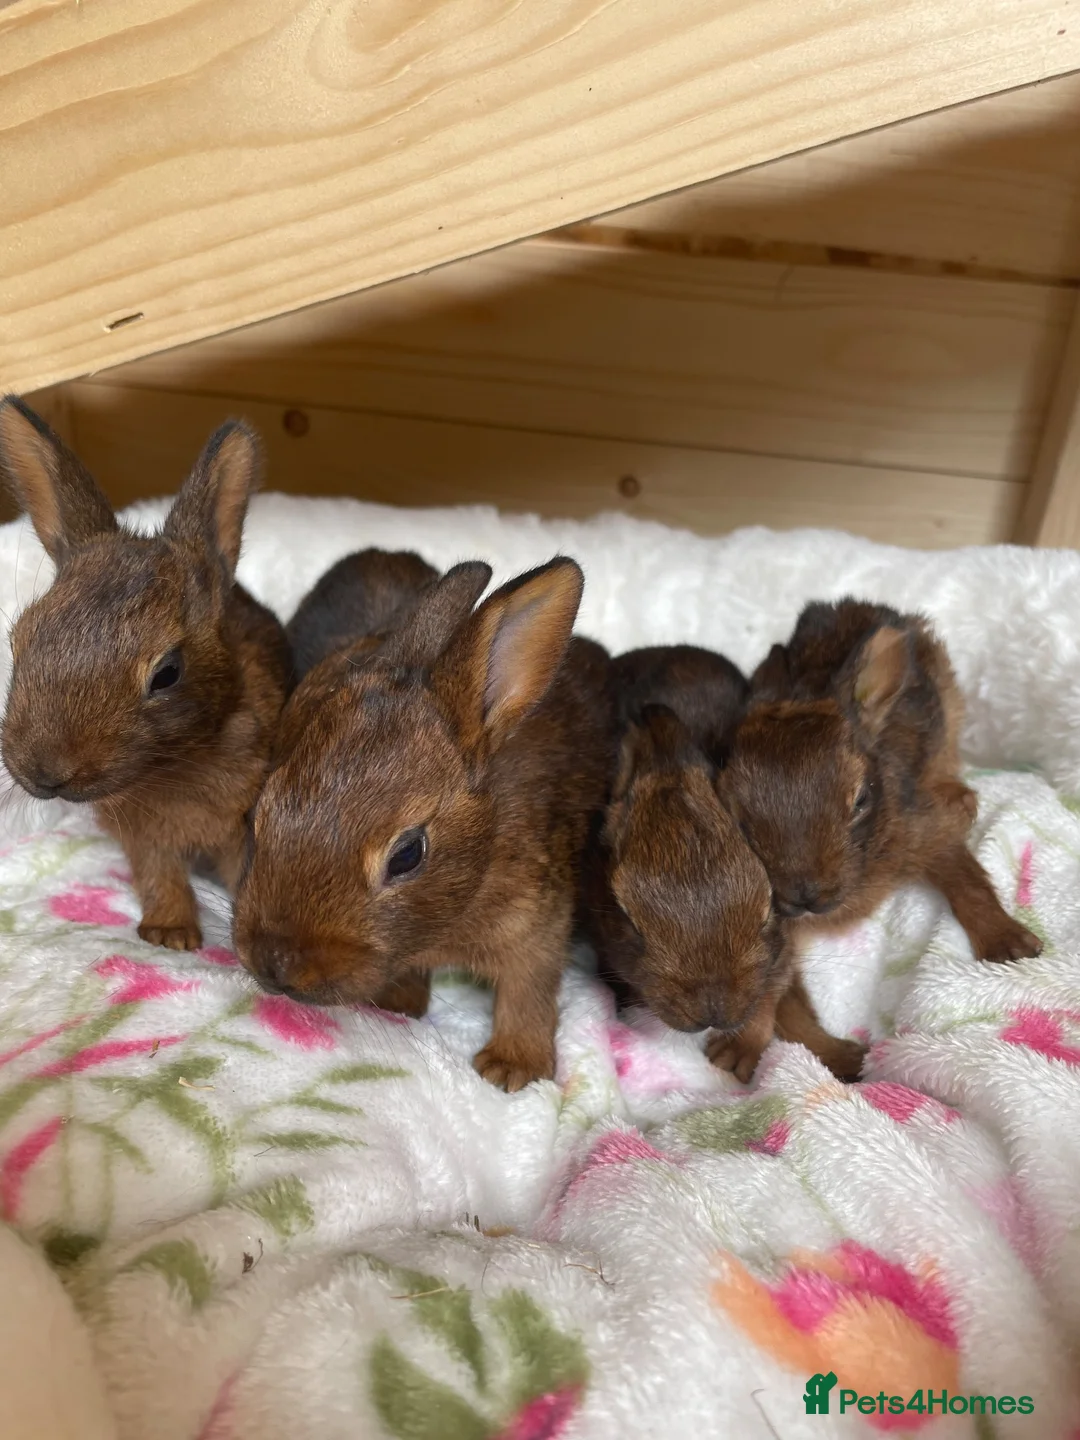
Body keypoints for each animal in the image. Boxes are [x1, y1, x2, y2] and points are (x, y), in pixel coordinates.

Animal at [0, 396, 292, 951]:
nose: (44, 773)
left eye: (167, 673)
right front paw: (170, 934)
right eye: (20, 640)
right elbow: (159, 873)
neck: (176, 762)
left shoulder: (241, 829)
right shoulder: (145, 839)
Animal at [581, 645, 864, 1082]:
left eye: (765, 913)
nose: (712, 1013)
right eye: (628, 921)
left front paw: (736, 1053)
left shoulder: (778, 954)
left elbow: (773, 997)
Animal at [716, 597, 1041, 1079]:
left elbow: (969, 883)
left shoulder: (924, 834)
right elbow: (775, 995)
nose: (805, 895)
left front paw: (1011, 946)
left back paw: (961, 797)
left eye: (861, 799)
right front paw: (738, 1053)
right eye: (736, 815)